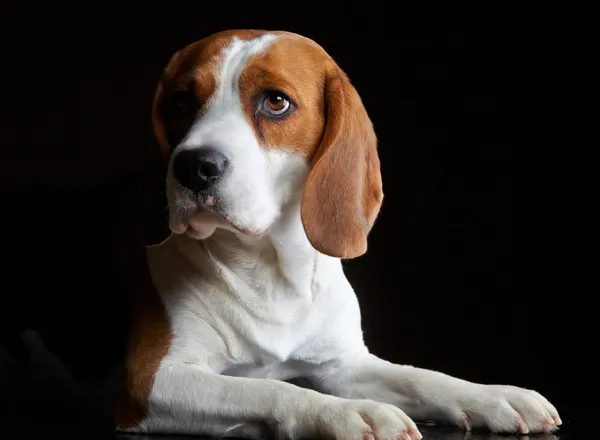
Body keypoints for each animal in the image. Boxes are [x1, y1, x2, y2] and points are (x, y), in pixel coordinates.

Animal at [113, 29, 564, 438]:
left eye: (275, 101)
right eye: (181, 101)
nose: (193, 167)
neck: (269, 269)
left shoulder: (345, 365)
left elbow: (422, 376)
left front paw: (495, 395)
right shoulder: (150, 381)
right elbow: (268, 388)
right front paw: (347, 412)